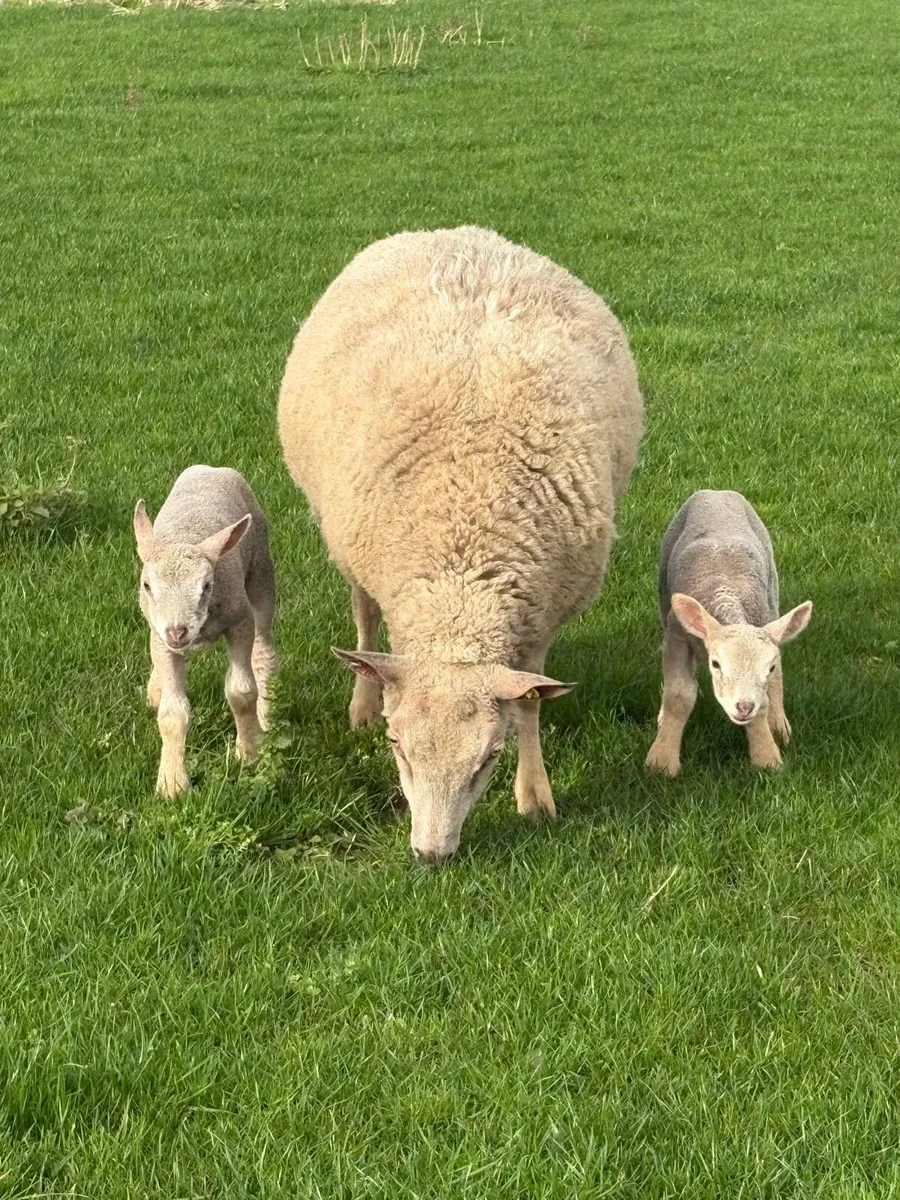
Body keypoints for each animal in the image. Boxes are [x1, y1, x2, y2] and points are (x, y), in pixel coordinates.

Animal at [133, 465, 276, 797]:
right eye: (147, 585)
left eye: (207, 586)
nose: (177, 631)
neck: (187, 536)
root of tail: (211, 469)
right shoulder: (161, 638)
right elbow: (172, 713)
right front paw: (172, 783)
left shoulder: (239, 620)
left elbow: (241, 692)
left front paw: (248, 754)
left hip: (261, 571)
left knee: (264, 646)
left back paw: (266, 713)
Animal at [278, 225, 643, 862]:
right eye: (397, 747)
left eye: (487, 760)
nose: (432, 854)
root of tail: (457, 234)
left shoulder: (540, 621)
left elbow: (528, 705)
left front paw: (534, 794)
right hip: (344, 543)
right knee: (364, 619)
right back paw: (362, 699)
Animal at [645, 489, 812, 776]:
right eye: (716, 664)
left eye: (768, 667)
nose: (743, 707)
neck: (726, 593)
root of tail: (717, 492)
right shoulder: (677, 636)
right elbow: (679, 695)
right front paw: (662, 761)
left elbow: (766, 698)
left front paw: (767, 756)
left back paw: (779, 725)